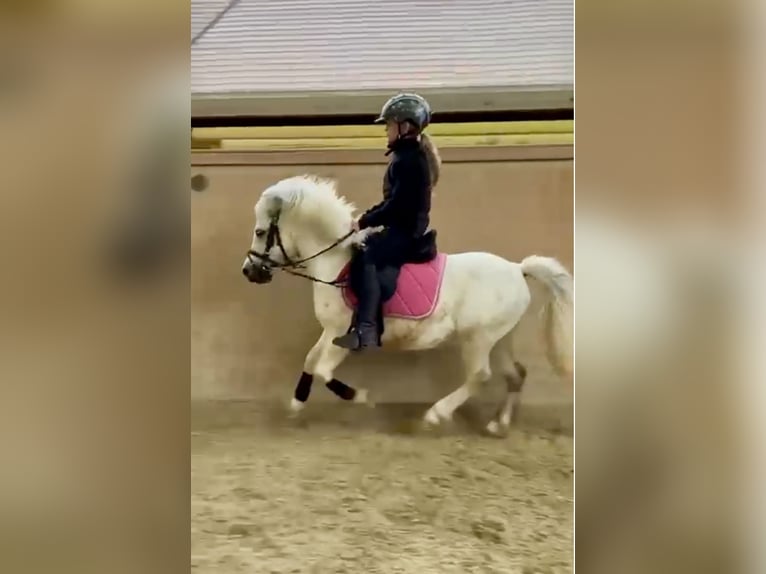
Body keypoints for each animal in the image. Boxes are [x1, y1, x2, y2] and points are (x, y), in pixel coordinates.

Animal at [243, 176, 572, 436]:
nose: (249, 271)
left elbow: (323, 370)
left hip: (478, 338)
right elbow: (311, 361)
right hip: (500, 338)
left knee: (480, 376)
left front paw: (362, 397)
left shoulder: (343, 334)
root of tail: (517, 269)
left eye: (260, 232)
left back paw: (435, 416)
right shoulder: (331, 331)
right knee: (516, 374)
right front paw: (296, 405)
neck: (335, 261)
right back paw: (497, 425)